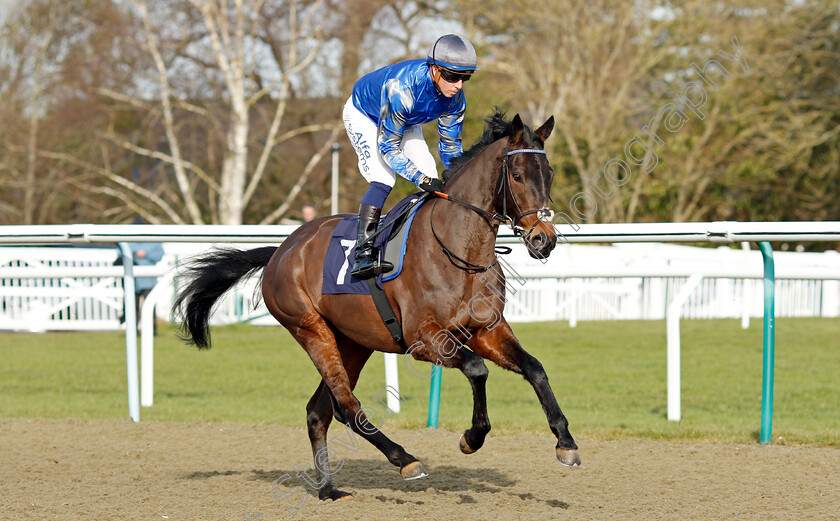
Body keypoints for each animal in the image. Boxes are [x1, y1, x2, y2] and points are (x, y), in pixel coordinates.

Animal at [174, 109, 580, 500]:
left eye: (550, 174)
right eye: (518, 175)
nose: (544, 239)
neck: (459, 250)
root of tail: (282, 249)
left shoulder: (486, 330)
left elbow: (534, 368)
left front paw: (566, 442)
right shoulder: (423, 339)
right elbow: (477, 370)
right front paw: (472, 437)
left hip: (354, 341)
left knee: (319, 411)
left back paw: (328, 490)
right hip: (311, 329)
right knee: (345, 406)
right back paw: (404, 460)